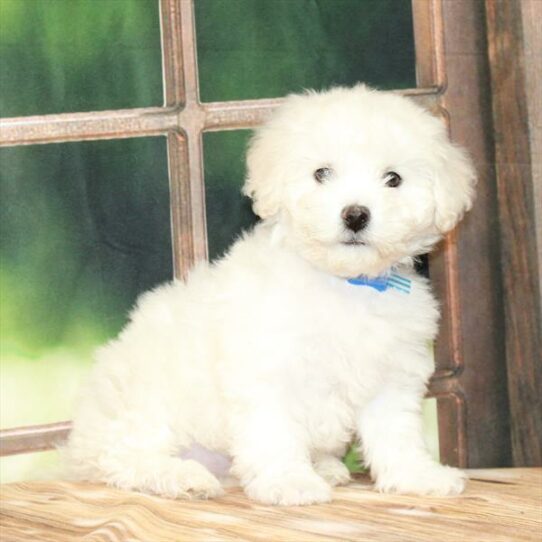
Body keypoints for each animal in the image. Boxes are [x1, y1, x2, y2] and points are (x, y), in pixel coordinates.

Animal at [66, 84, 478, 506]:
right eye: (321, 173)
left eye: (393, 179)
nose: (355, 214)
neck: (343, 282)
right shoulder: (267, 373)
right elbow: (275, 433)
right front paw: (289, 481)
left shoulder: (391, 376)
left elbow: (397, 435)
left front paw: (417, 475)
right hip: (149, 403)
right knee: (124, 457)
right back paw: (180, 475)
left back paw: (324, 467)